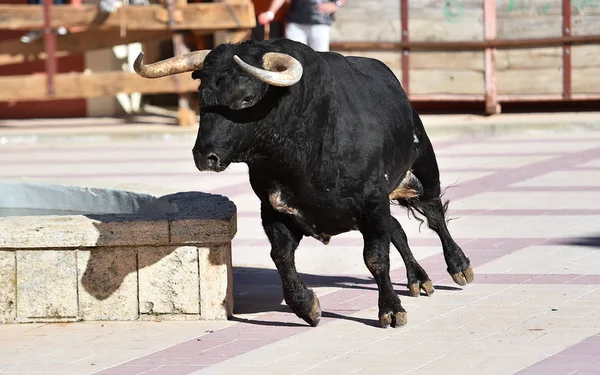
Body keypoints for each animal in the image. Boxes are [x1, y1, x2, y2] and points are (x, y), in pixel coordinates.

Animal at [132, 36, 474, 328]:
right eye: (201, 97)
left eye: (246, 97)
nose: (205, 156)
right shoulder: (274, 209)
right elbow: (282, 257)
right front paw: (307, 306)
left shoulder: (372, 202)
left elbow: (376, 258)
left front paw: (390, 310)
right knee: (398, 230)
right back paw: (418, 278)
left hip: (423, 166)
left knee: (434, 214)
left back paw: (459, 266)